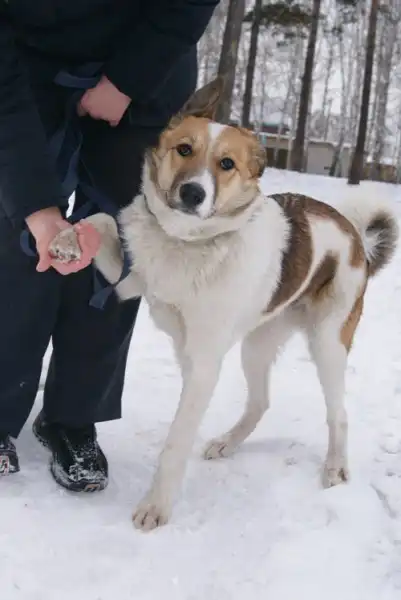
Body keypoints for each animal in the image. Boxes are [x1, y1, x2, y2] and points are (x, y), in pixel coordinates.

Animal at [49, 78, 399, 531]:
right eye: (184, 149)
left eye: (227, 163)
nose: (192, 192)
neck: (187, 242)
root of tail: (355, 236)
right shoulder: (129, 281)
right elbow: (101, 221)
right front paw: (68, 239)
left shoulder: (204, 364)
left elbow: (176, 442)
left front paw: (156, 506)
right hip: (257, 344)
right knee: (260, 401)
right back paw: (228, 443)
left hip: (327, 344)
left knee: (337, 412)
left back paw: (336, 466)